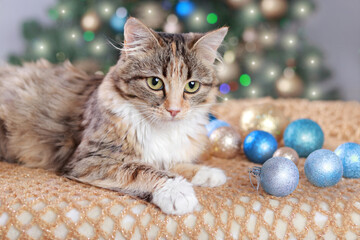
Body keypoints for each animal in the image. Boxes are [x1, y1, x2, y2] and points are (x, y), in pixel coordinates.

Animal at [0, 17, 228, 215]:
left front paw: (208, 173)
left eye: (192, 86)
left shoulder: (164, 155)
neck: (163, 131)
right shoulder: (90, 158)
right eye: (155, 83)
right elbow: (143, 169)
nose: (174, 110)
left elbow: (171, 164)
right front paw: (177, 191)